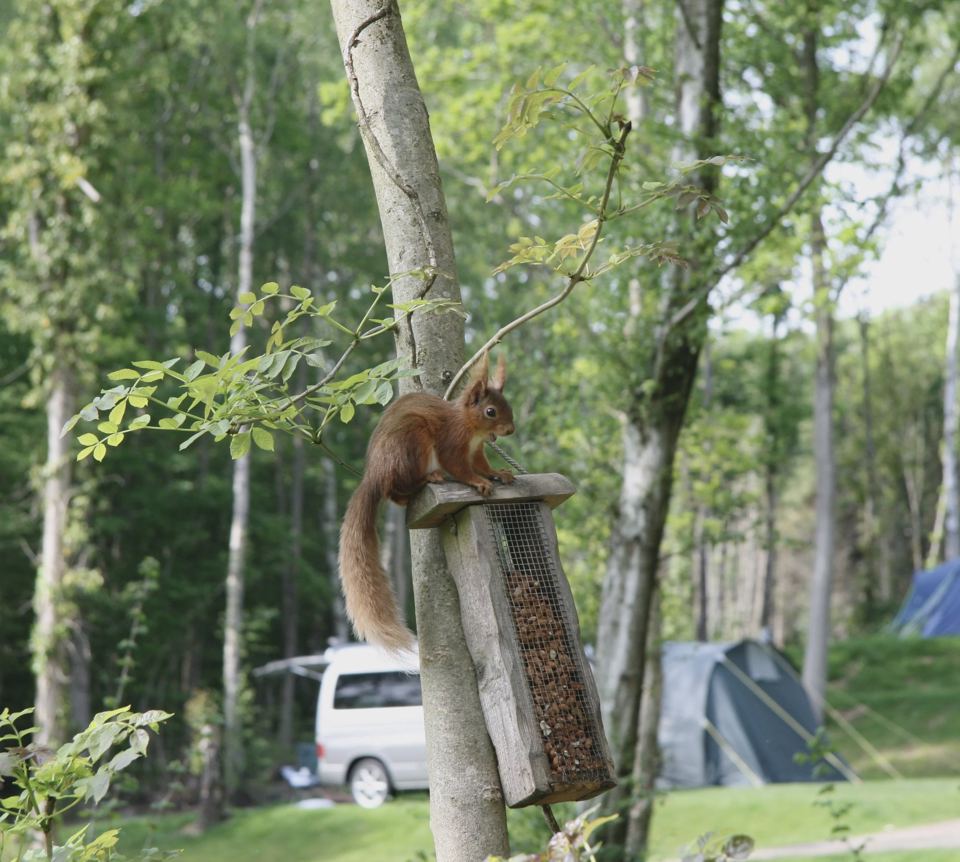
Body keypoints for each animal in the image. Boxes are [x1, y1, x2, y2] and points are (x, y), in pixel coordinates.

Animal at [338, 353, 516, 652]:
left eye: (508, 406)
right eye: (491, 411)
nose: (511, 430)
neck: (471, 428)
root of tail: (374, 474)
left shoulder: (477, 451)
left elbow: (483, 465)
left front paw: (499, 473)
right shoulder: (452, 443)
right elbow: (459, 467)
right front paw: (478, 483)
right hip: (412, 440)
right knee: (397, 491)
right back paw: (429, 477)